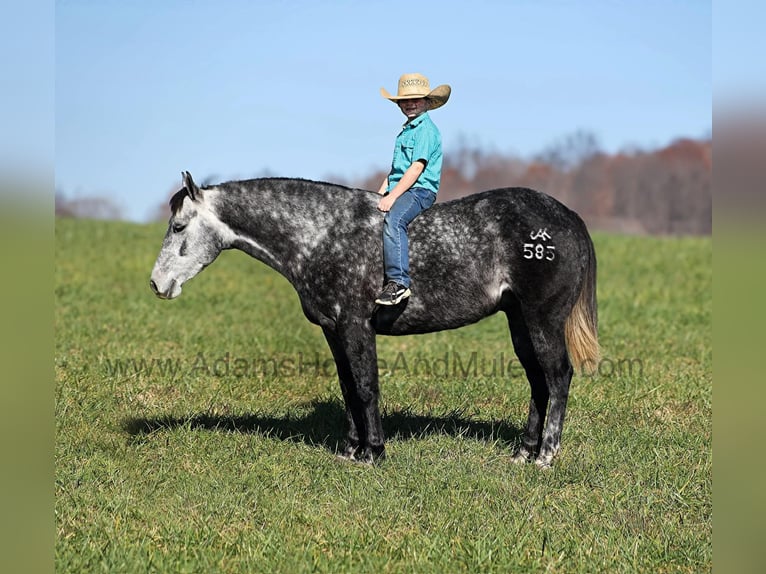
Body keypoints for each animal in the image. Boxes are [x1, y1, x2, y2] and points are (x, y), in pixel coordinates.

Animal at [150, 172, 599, 468]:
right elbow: (348, 388)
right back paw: (523, 451)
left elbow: (366, 387)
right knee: (538, 383)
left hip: (542, 321)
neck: (323, 234)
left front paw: (374, 452)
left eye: (179, 226)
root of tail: (568, 217)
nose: (157, 283)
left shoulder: (355, 325)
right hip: (519, 322)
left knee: (558, 377)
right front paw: (351, 449)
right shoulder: (333, 330)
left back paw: (545, 456)